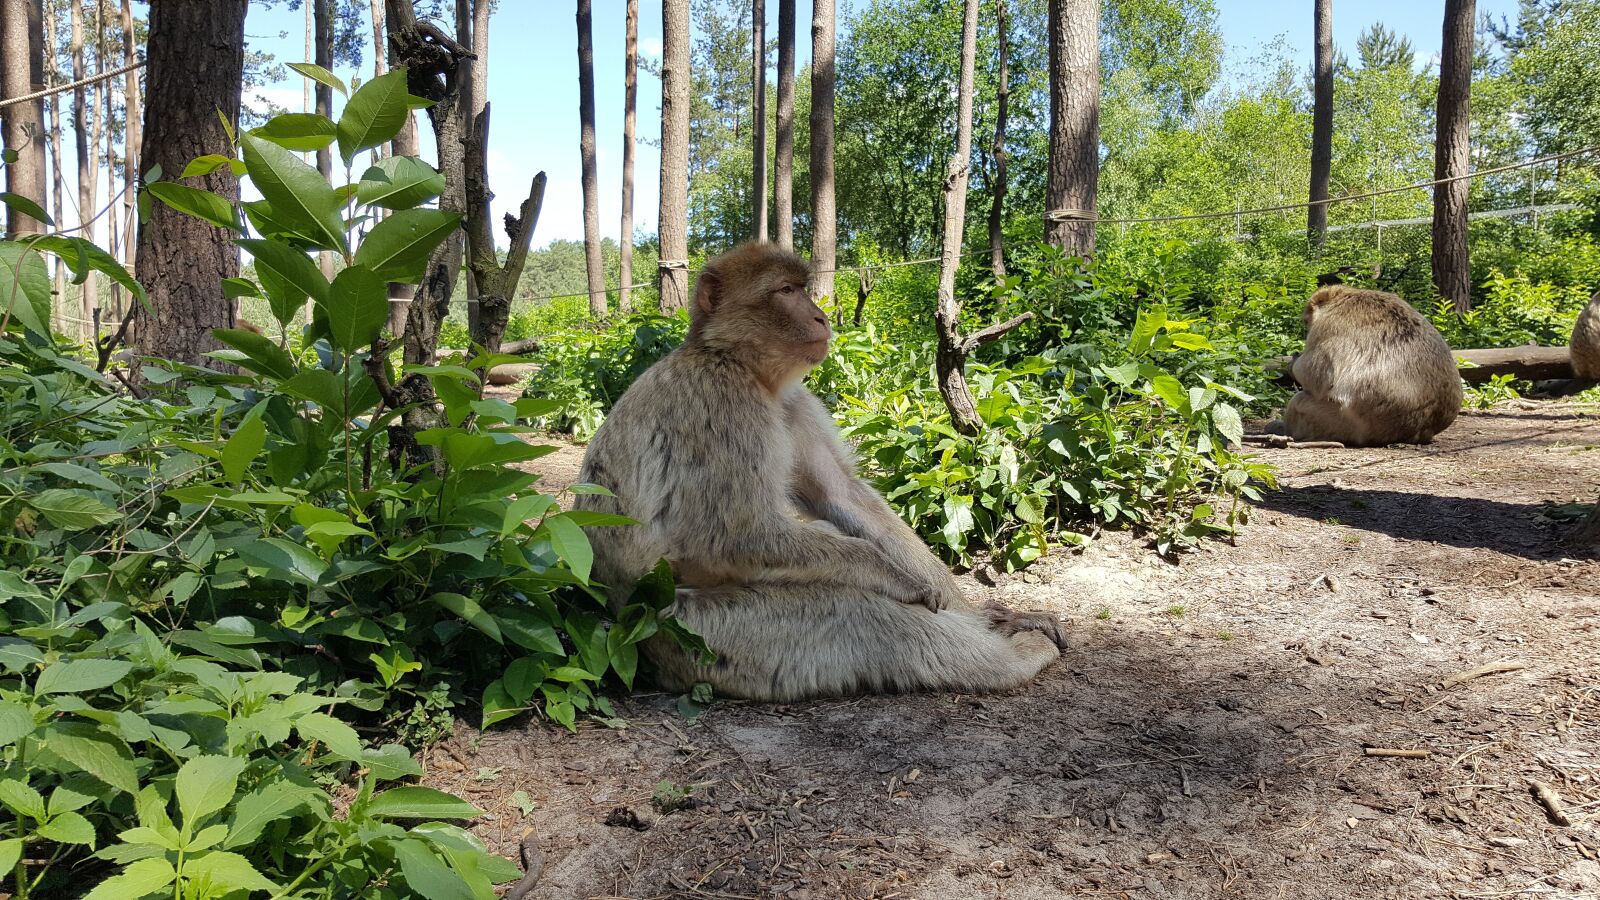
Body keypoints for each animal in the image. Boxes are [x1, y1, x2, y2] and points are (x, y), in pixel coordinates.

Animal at [574, 242, 1063, 702]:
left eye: (802, 288)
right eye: (786, 291)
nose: (821, 316)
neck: (743, 366)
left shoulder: (796, 403)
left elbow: (840, 496)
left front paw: (971, 608)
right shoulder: (720, 403)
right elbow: (732, 535)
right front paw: (894, 576)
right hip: (701, 636)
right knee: (866, 616)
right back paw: (1016, 660)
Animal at [1273, 285, 1462, 447]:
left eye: (1307, 321)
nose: (1306, 328)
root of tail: (1418, 430)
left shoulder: (1327, 325)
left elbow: (1315, 375)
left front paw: (1294, 363)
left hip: (1340, 422)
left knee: (1299, 401)